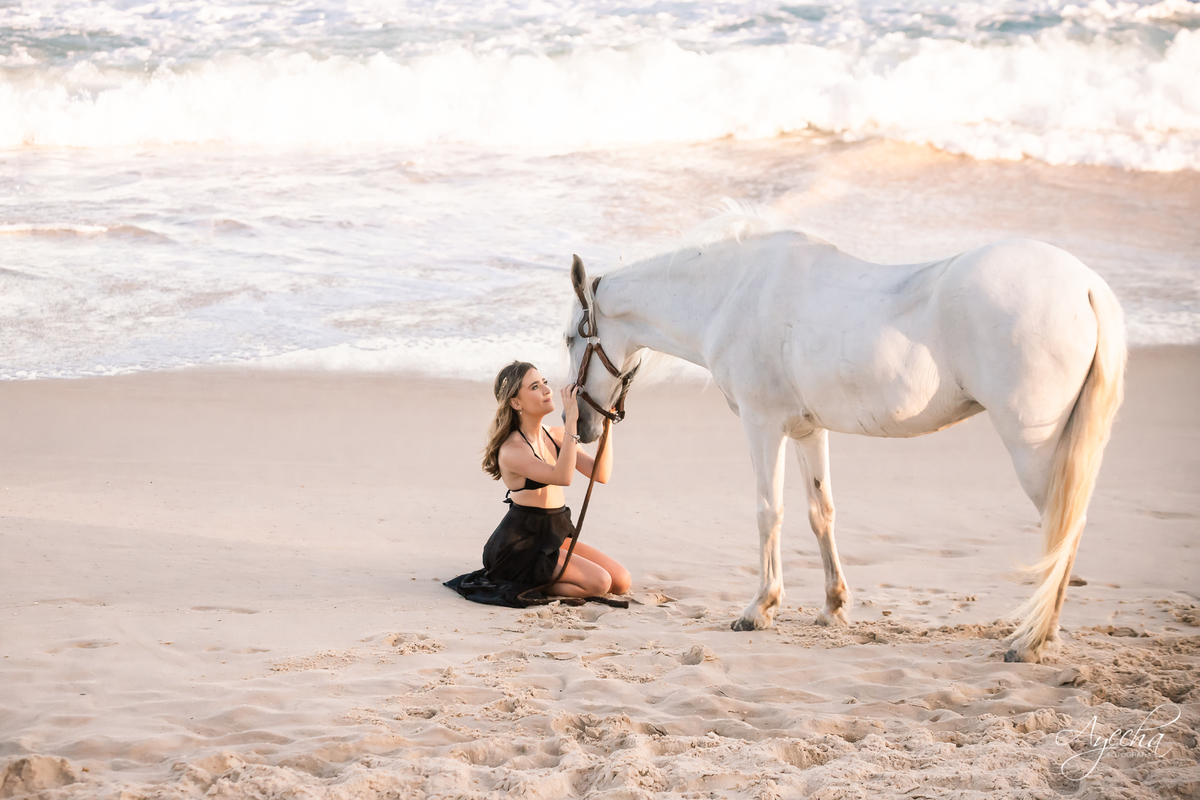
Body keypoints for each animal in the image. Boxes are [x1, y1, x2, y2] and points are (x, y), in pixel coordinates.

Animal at [564, 227, 1125, 663]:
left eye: (572, 337)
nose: (585, 426)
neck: (735, 293)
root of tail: (1087, 286)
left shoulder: (762, 425)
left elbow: (769, 512)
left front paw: (759, 608)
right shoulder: (808, 431)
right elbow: (821, 512)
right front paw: (833, 608)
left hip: (1035, 451)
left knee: (1062, 531)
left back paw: (1031, 641)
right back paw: (1043, 635)